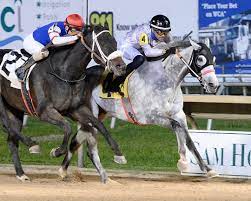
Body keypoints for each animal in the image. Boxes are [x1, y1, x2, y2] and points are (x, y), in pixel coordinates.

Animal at [59, 38, 219, 179]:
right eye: (200, 59)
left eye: (214, 59)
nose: (214, 85)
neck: (166, 80)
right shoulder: (148, 116)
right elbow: (177, 127)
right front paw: (183, 161)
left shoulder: (179, 114)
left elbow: (189, 139)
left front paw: (206, 168)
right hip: (91, 112)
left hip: (98, 115)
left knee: (76, 140)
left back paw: (63, 169)